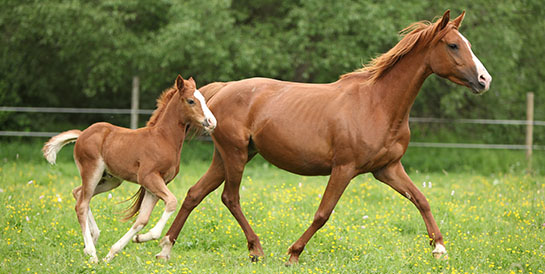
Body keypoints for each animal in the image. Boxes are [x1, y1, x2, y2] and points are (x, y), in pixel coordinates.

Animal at [41, 75, 216, 264]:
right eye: (191, 101)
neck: (163, 138)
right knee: (81, 204)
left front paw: (118, 249)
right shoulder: (149, 178)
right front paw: (146, 238)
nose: (211, 122)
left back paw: (92, 240)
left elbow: (142, 220)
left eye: (204, 99)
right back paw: (93, 253)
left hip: (111, 180)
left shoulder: (155, 185)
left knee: (78, 193)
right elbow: (171, 202)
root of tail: (81, 134)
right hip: (92, 171)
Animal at [156, 10, 488, 264]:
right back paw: (256, 250)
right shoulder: (344, 168)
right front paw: (293, 254)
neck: (378, 104)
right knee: (230, 197)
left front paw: (440, 248)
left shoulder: (387, 169)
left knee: (195, 194)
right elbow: (323, 214)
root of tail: (223, 89)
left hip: (229, 157)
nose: (485, 80)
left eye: (467, 44)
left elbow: (422, 199)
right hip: (235, 155)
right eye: (453, 45)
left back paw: (166, 249)